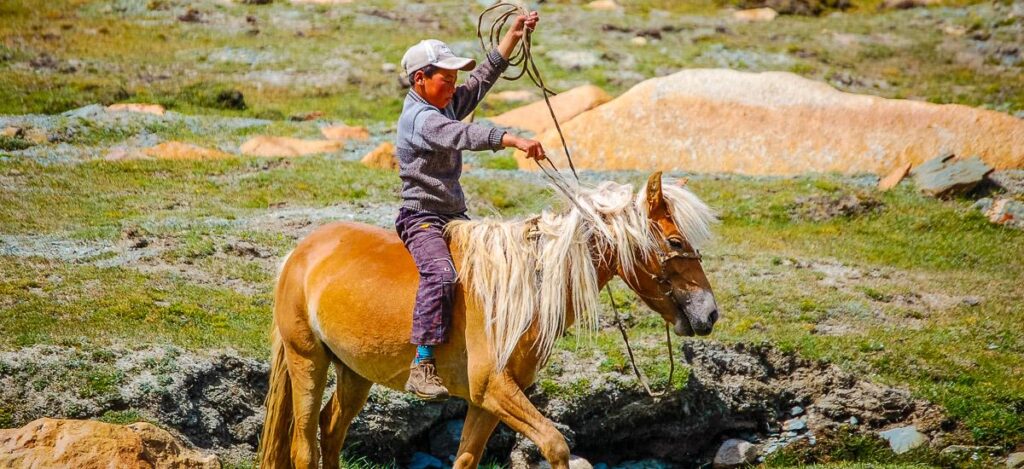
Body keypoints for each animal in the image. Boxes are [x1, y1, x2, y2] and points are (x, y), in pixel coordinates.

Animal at [257, 171, 719, 469]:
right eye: (675, 242)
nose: (710, 313)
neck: (525, 288)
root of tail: (300, 252)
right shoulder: (493, 387)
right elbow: (555, 444)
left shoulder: (486, 400)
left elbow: (466, 459)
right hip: (307, 361)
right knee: (304, 447)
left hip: (354, 372)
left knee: (331, 430)